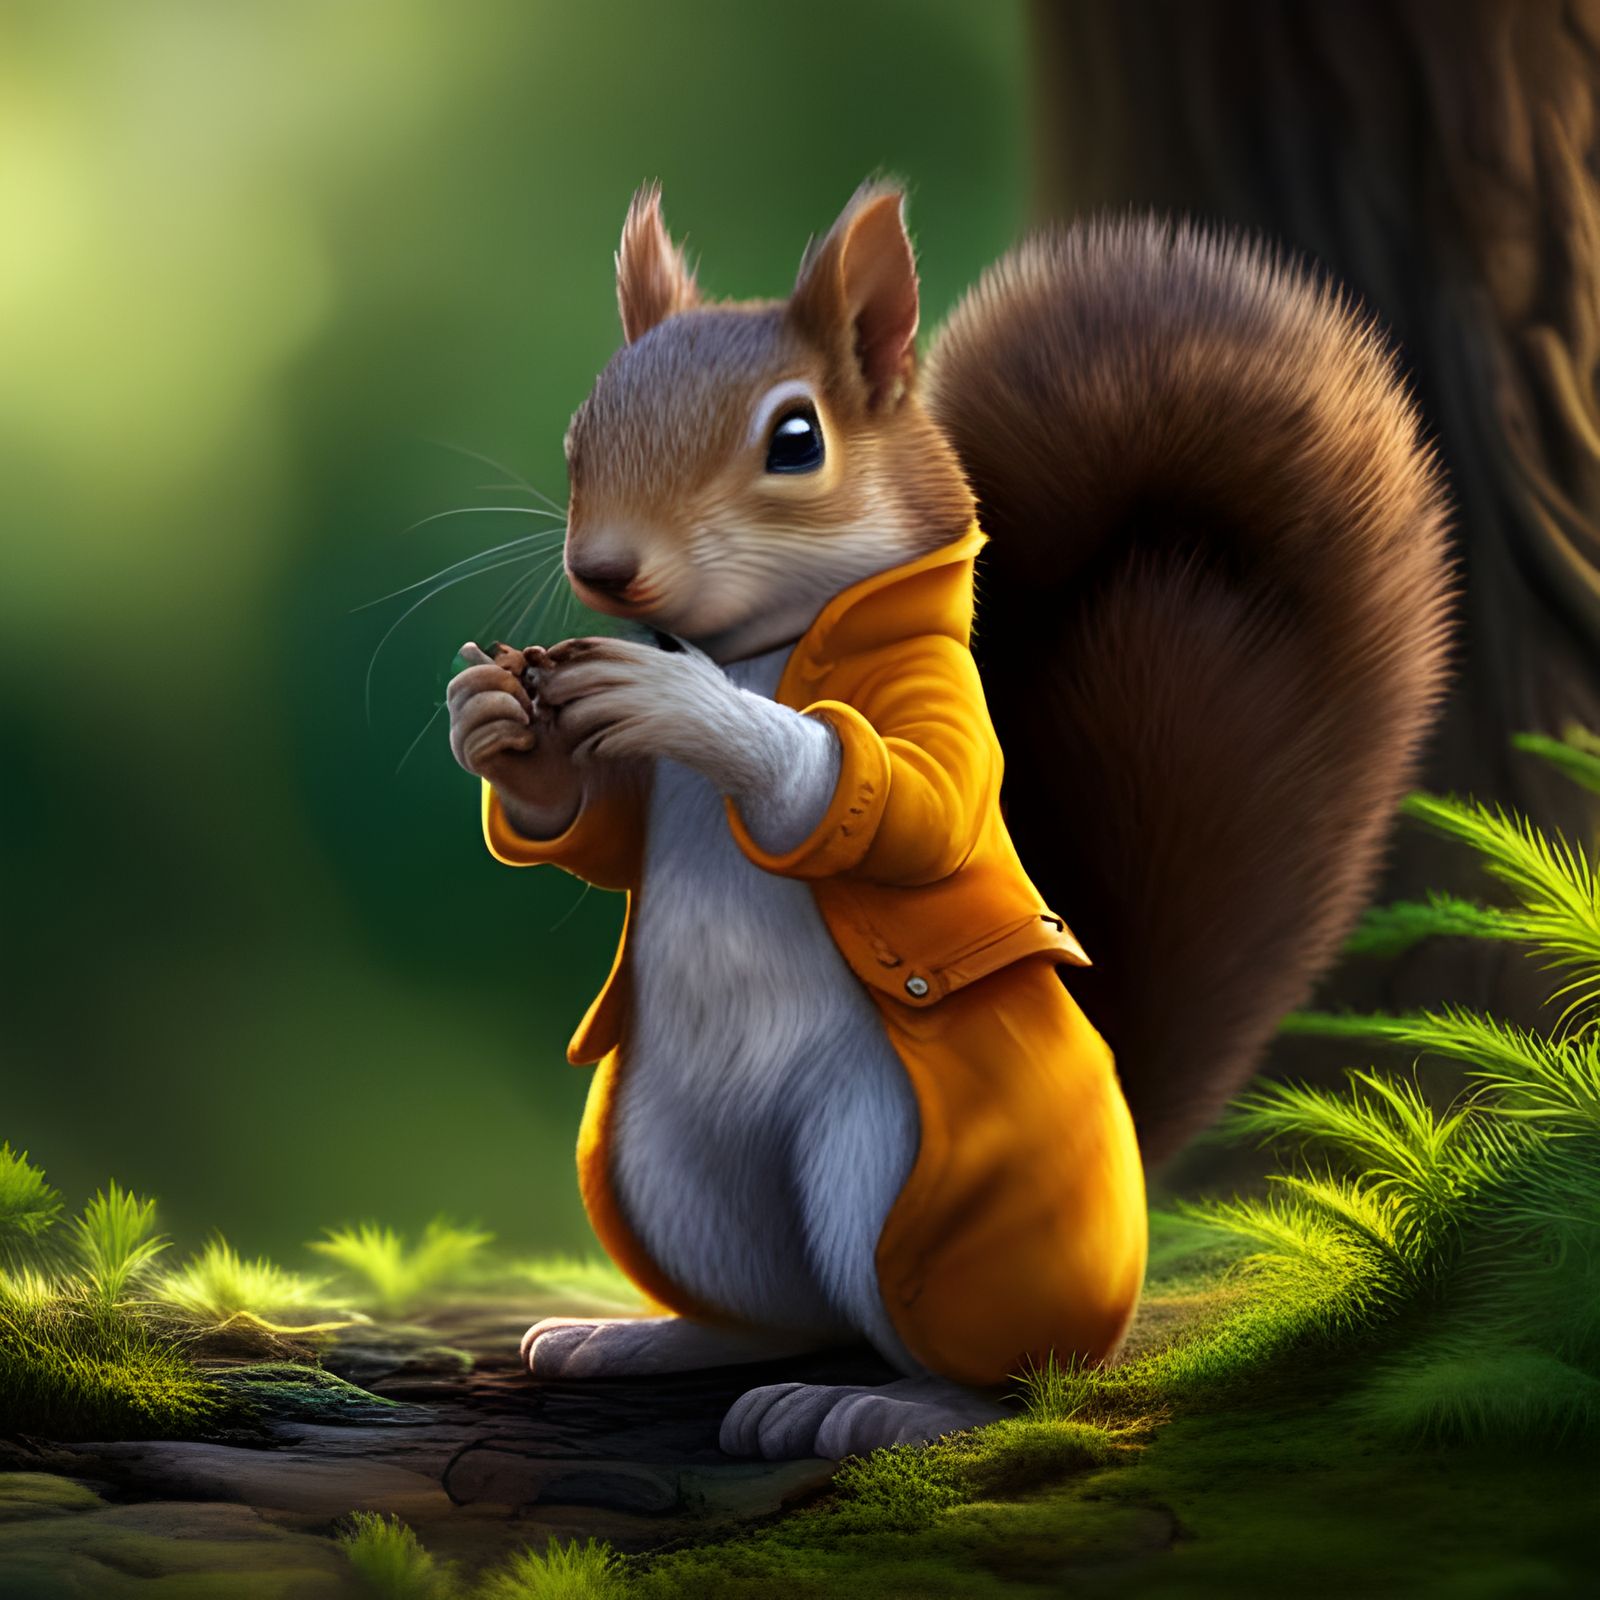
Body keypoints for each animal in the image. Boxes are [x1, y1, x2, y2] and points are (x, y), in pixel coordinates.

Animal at [445, 181, 1452, 1462]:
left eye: (795, 440)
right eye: (582, 432)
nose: (605, 569)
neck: (758, 646)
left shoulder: (945, 712)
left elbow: (909, 805)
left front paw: (674, 700)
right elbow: (604, 838)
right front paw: (503, 730)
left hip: (892, 1172)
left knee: (1009, 1370)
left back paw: (884, 1402)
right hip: (667, 1169)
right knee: (782, 1310)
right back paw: (644, 1338)